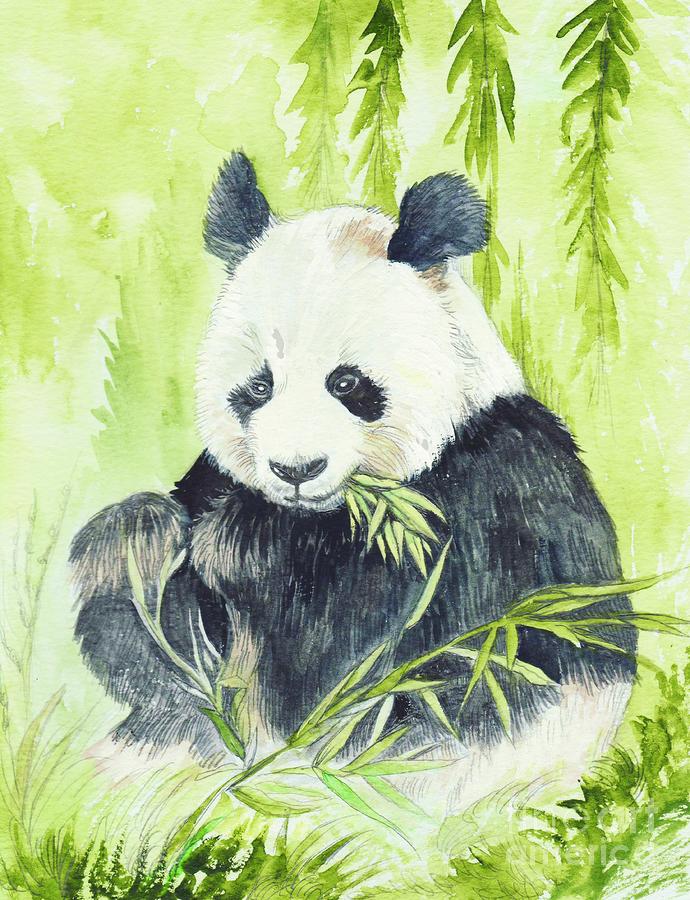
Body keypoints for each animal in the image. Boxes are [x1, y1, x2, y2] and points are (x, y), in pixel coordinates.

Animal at [71, 152, 636, 798]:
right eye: (259, 386)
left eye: (347, 383)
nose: (295, 469)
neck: (322, 514)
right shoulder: (214, 480)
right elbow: (161, 657)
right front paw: (137, 538)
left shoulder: (484, 505)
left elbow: (340, 658)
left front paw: (241, 544)